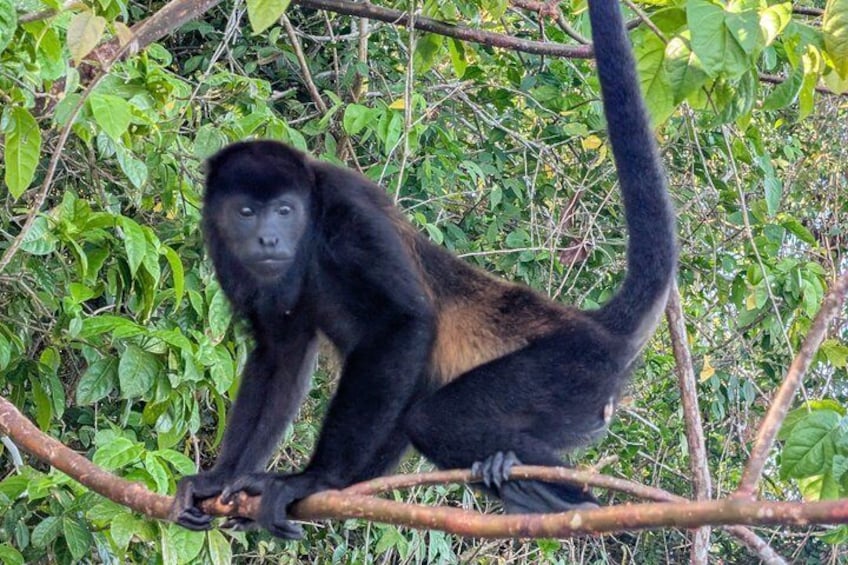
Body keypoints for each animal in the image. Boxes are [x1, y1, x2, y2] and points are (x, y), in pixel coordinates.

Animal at [173, 0, 676, 539]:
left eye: (285, 210)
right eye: (247, 212)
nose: (269, 238)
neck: (309, 229)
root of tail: (593, 326)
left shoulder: (349, 213)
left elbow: (404, 321)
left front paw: (315, 480)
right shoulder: (222, 246)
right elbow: (278, 352)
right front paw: (219, 479)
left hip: (571, 370)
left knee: (436, 419)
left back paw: (567, 497)